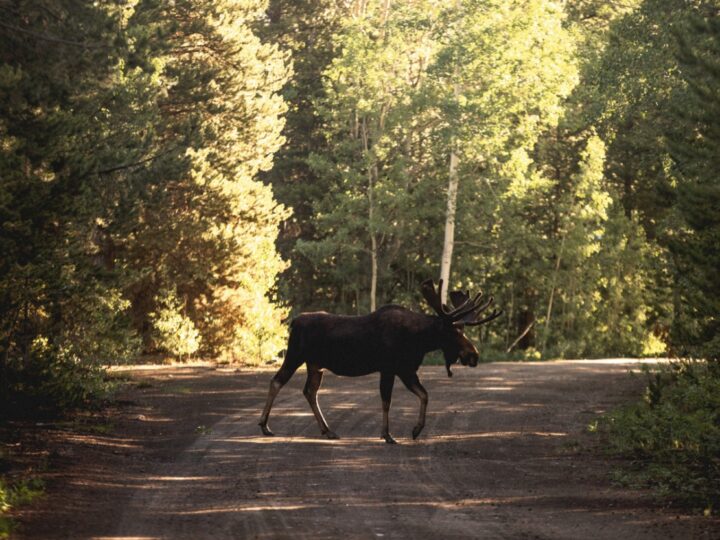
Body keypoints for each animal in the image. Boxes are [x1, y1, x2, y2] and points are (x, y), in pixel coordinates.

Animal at [258, 278, 500, 442]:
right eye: (454, 332)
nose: (474, 355)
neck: (419, 340)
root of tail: (294, 322)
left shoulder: (406, 369)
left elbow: (424, 395)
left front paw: (416, 430)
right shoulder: (390, 368)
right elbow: (387, 401)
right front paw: (387, 434)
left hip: (315, 365)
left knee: (309, 391)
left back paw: (328, 430)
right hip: (295, 355)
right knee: (277, 381)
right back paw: (264, 426)